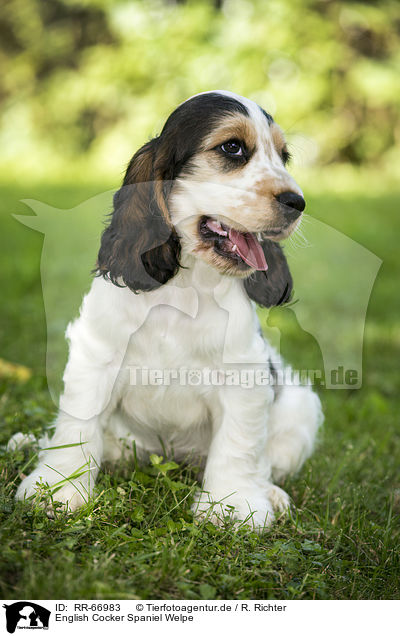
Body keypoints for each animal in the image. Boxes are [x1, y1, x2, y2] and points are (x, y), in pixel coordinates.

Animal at [16, 89, 322, 528]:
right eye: (232, 148)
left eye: (284, 156)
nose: (297, 203)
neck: (185, 289)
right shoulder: (96, 357)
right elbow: (77, 426)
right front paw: (56, 491)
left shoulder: (244, 376)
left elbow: (238, 445)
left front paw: (233, 506)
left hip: (300, 406)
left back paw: (271, 493)